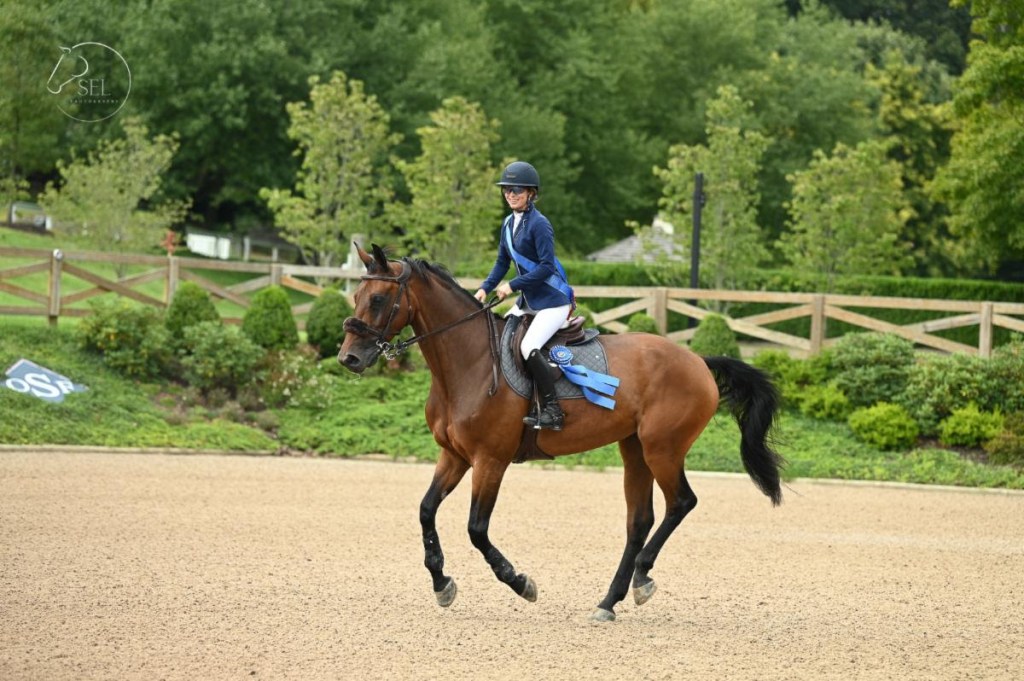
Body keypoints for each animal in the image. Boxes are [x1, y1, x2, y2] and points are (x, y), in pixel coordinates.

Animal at [337, 244, 782, 622]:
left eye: (378, 300)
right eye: (356, 296)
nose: (349, 358)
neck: (468, 363)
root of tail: (698, 361)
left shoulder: (490, 460)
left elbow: (477, 529)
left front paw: (520, 583)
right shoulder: (455, 456)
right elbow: (426, 511)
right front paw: (442, 584)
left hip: (663, 449)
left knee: (681, 503)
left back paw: (642, 577)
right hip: (634, 449)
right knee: (640, 521)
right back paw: (609, 601)